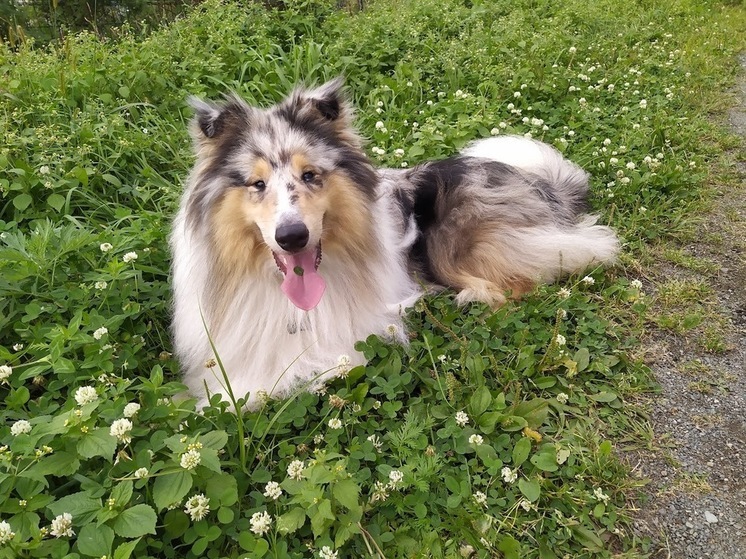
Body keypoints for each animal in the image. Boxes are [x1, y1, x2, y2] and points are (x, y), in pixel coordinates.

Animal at [170, 79, 616, 406]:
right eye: (257, 184)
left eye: (310, 175)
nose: (292, 236)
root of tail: (540, 185)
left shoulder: (352, 336)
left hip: (457, 241)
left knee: (527, 279)